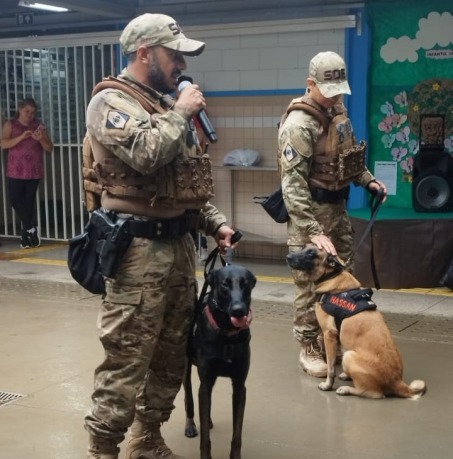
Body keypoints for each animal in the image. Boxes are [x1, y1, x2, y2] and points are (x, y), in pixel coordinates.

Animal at [183, 264, 254, 459]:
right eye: (225, 284)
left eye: (246, 284)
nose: (238, 310)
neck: (227, 334)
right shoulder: (205, 381)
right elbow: (205, 438)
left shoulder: (240, 387)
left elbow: (237, 434)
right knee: (189, 397)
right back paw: (190, 424)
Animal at [288, 244, 426, 398]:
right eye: (304, 247)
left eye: (311, 254)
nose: (288, 257)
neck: (331, 276)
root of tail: (398, 382)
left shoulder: (329, 335)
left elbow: (330, 367)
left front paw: (328, 385)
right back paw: (347, 376)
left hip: (350, 356)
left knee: (374, 393)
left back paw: (347, 389)